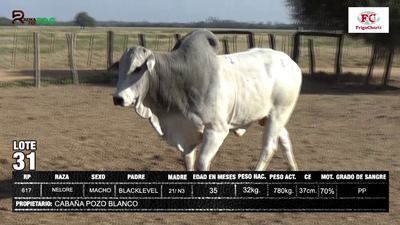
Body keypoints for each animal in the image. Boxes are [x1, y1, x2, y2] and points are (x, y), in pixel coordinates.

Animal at [108, 29, 302, 171]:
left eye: (137, 68)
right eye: (121, 68)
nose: (117, 98)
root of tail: (291, 62)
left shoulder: (216, 130)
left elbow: (201, 163)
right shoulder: (187, 133)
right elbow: (188, 161)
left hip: (278, 114)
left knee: (269, 147)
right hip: (270, 117)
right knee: (284, 139)